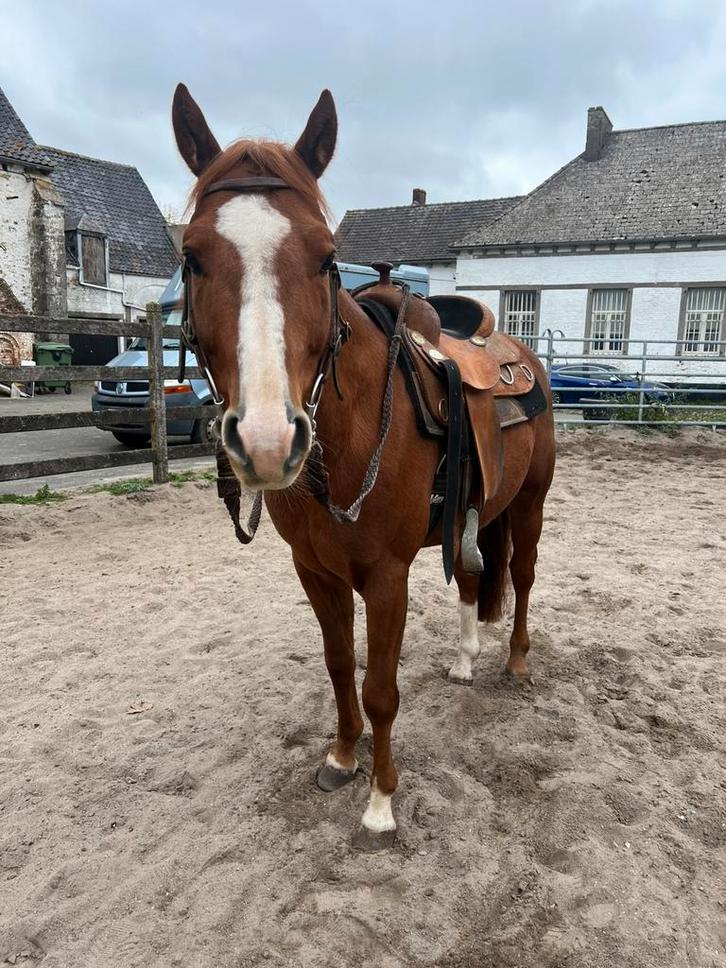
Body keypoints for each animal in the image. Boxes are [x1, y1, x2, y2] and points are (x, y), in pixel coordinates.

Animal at [171, 83, 556, 848]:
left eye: (327, 257)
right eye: (193, 256)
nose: (267, 441)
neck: (346, 449)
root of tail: (518, 354)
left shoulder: (386, 577)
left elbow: (380, 688)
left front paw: (380, 801)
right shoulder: (316, 571)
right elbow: (338, 664)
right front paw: (341, 758)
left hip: (530, 505)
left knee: (522, 577)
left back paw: (516, 661)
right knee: (476, 576)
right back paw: (466, 659)